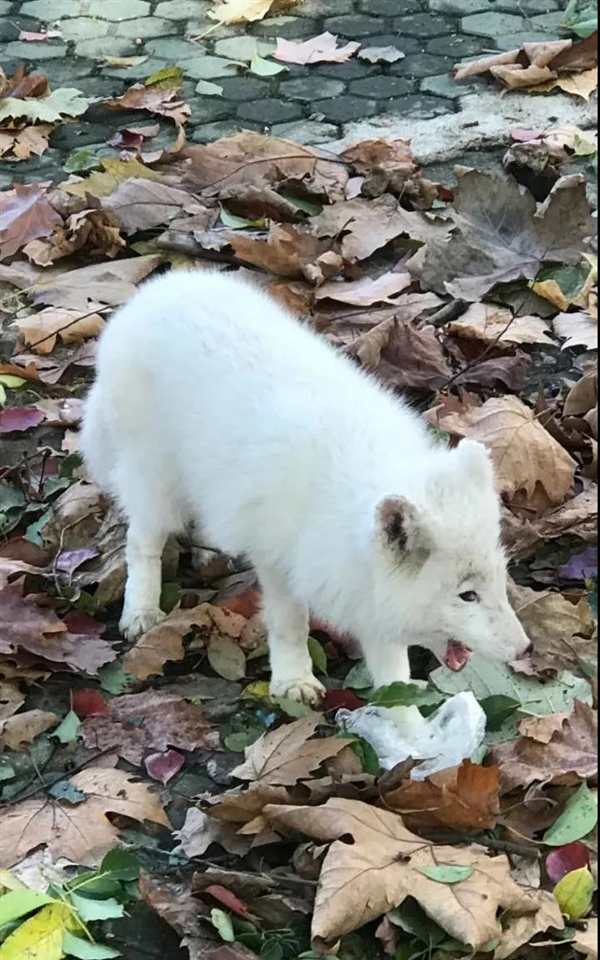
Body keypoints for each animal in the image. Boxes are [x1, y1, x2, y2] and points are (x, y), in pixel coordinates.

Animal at [83, 270, 528, 704]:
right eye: (467, 595)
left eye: (500, 579)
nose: (526, 649)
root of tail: (143, 299)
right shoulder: (279, 560)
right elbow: (289, 624)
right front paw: (293, 680)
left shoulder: (363, 590)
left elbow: (392, 668)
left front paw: (408, 721)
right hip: (155, 482)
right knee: (141, 542)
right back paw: (140, 611)